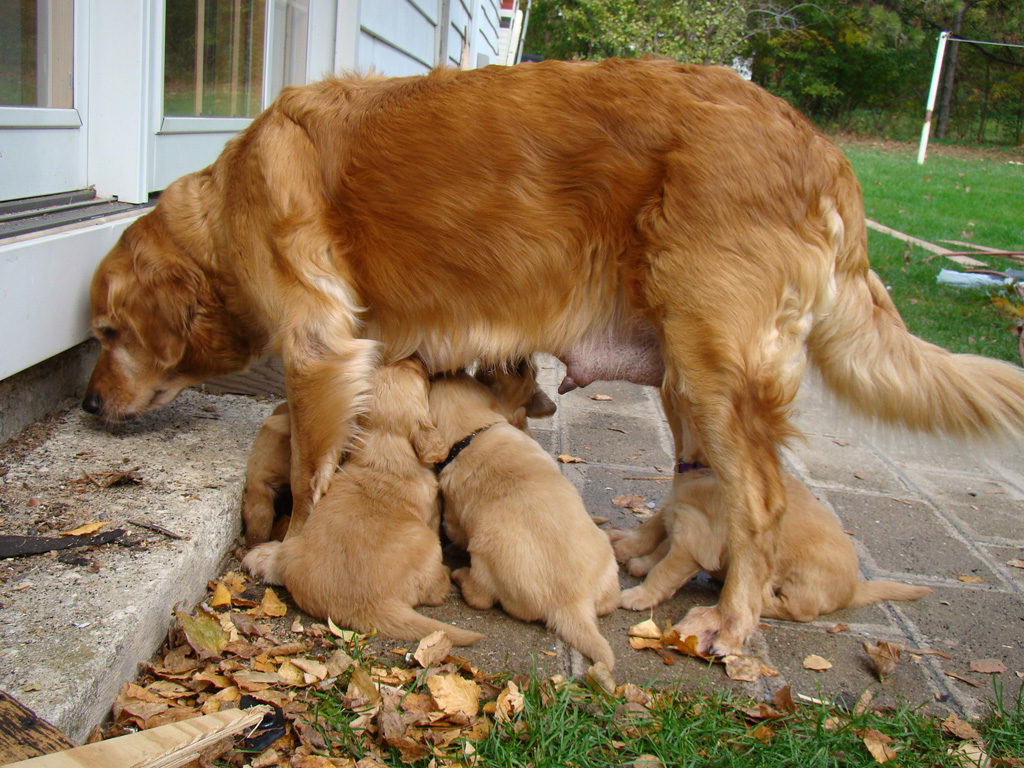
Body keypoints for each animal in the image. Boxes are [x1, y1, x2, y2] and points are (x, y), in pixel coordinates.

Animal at [241, 360, 481, 651]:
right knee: (433, 590)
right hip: (429, 544)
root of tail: (365, 605)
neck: (384, 448)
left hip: (293, 549)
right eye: (419, 378)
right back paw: (445, 577)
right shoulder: (433, 514)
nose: (414, 359)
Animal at [428, 372, 618, 667]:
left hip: (484, 559)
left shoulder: (455, 517)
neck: (475, 433)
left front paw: (453, 549)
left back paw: (460, 575)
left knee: (479, 596)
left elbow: (456, 534)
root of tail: (573, 605)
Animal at [606, 468, 937, 626]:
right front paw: (636, 559)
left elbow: (665, 570)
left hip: (803, 576)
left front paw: (639, 594)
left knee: (798, 611)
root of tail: (854, 589)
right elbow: (658, 540)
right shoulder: (680, 517)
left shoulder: (695, 542)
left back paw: (758, 602)